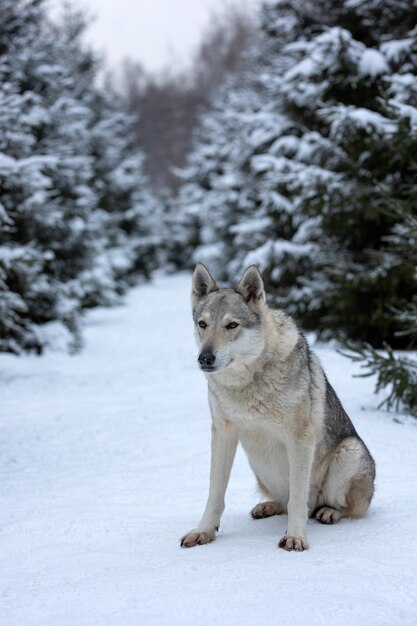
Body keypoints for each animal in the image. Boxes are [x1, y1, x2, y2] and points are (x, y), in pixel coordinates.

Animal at [180, 260, 376, 548]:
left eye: (232, 325)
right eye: (203, 324)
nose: (205, 358)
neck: (246, 385)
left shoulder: (300, 439)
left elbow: (297, 500)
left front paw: (295, 537)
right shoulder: (222, 433)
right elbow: (215, 494)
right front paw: (204, 531)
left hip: (349, 453)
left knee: (336, 507)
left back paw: (328, 512)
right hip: (259, 465)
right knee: (285, 501)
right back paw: (266, 507)